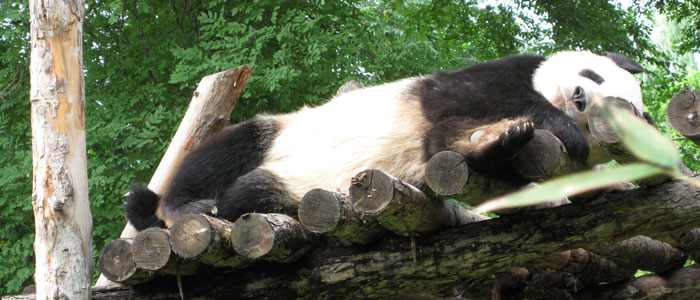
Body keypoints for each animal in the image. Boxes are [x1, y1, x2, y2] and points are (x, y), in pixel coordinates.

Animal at [124, 51, 644, 230]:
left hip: (297, 188)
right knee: (224, 152)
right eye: (593, 76)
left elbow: (446, 146)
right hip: (276, 131)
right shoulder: (483, 80)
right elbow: (461, 108)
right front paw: (557, 128)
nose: (578, 99)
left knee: (252, 192)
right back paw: (183, 207)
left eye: (624, 110)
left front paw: (497, 139)